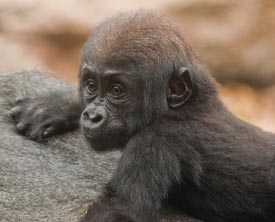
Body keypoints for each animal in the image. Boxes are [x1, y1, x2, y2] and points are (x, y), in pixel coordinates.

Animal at [11, 11, 275, 222]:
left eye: (117, 90)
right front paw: (55, 106)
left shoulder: (156, 141)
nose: (92, 116)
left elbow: (119, 211)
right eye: (91, 86)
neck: (185, 106)